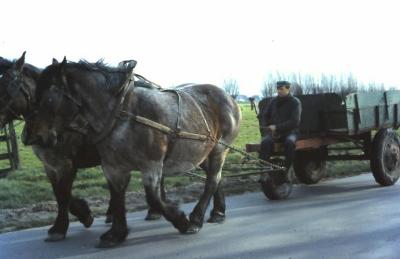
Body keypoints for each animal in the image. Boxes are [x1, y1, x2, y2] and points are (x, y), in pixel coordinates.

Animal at [0, 53, 163, 243]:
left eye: (7, 86)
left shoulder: (66, 164)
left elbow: (63, 194)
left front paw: (61, 227)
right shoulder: (50, 166)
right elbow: (59, 193)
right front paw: (83, 214)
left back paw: (153, 210)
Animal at [26, 58, 242, 249]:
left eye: (49, 98)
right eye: (33, 97)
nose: (37, 137)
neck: (121, 114)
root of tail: (229, 97)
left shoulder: (151, 165)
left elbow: (154, 197)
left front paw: (182, 221)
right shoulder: (113, 167)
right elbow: (117, 196)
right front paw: (116, 233)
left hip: (219, 149)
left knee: (212, 180)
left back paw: (197, 219)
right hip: (200, 153)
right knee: (215, 178)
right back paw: (217, 213)